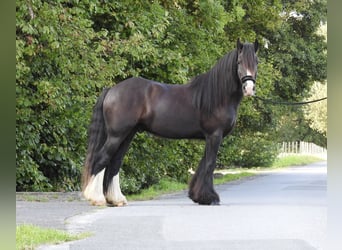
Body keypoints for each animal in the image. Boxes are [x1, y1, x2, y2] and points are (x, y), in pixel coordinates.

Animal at [83, 39, 260, 206]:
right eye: (239, 62)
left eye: (256, 62)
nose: (249, 88)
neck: (218, 97)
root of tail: (112, 90)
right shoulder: (214, 135)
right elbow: (210, 164)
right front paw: (209, 198)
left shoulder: (210, 137)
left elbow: (203, 165)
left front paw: (197, 196)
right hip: (116, 135)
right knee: (101, 159)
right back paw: (96, 198)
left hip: (127, 135)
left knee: (115, 163)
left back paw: (116, 199)